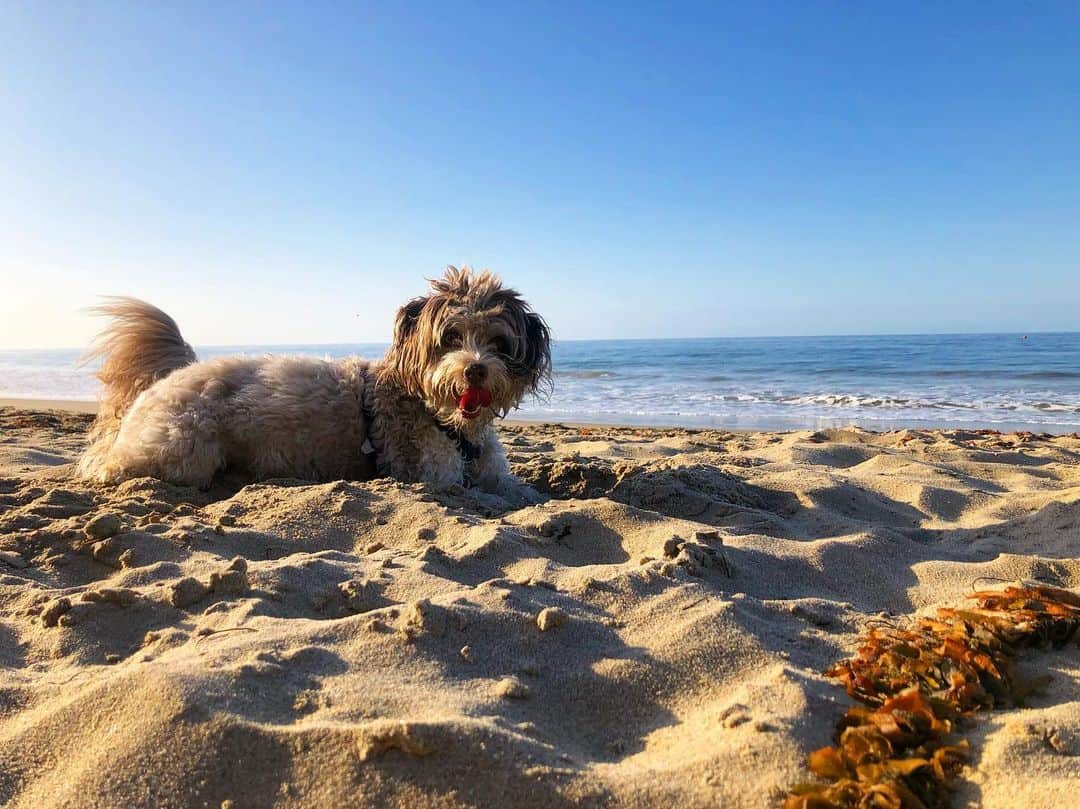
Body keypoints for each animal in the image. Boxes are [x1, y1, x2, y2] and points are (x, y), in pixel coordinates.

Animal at [73, 264, 557, 494]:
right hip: (181, 448)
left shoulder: (494, 472)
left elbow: (518, 490)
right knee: (112, 466)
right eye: (451, 337)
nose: (474, 368)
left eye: (498, 342)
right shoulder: (437, 473)